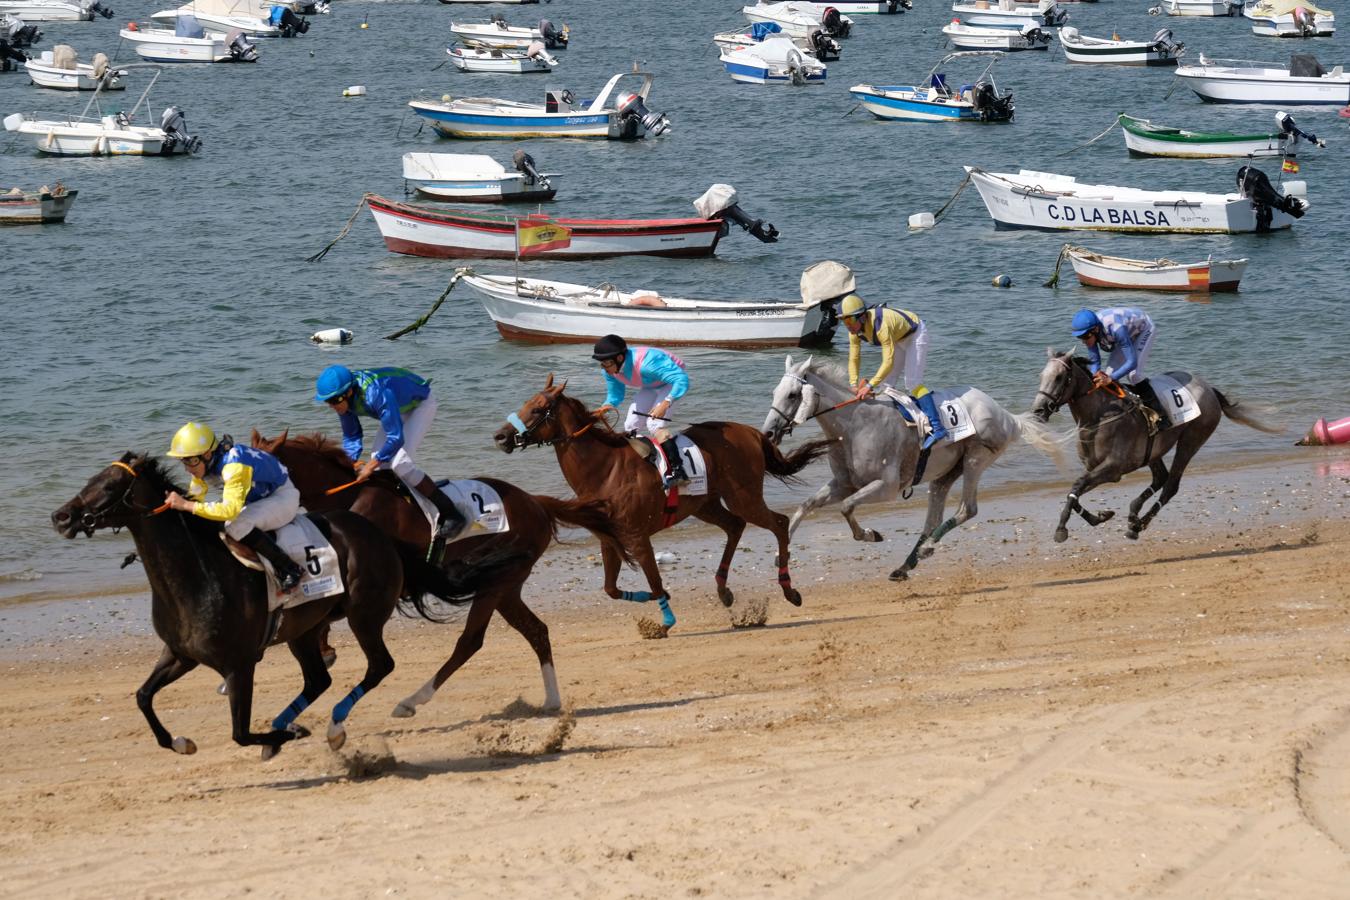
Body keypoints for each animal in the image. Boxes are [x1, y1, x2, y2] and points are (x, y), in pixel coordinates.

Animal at [51, 458, 469, 761]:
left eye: (108, 486)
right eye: (91, 478)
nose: (61, 516)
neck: (197, 576)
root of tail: (381, 535)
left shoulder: (239, 665)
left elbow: (239, 733)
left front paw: (285, 734)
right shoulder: (180, 654)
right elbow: (142, 697)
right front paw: (182, 742)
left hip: (363, 616)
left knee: (379, 666)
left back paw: (332, 727)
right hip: (305, 630)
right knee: (318, 679)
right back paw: (287, 726)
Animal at [252, 429, 626, 717]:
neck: (351, 499)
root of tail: (536, 502)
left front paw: (325, 649)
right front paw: (323, 648)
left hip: (495, 582)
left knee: (470, 641)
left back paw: (410, 701)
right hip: (506, 585)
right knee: (536, 631)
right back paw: (551, 699)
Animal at [496, 377, 831, 631]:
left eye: (537, 408)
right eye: (525, 404)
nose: (500, 436)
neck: (605, 469)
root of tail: (751, 432)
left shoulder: (637, 536)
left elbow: (654, 580)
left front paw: (664, 622)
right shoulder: (609, 537)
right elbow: (611, 589)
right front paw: (651, 600)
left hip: (743, 496)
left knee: (779, 523)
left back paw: (789, 589)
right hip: (705, 504)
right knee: (735, 526)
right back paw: (723, 589)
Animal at [766, 356, 1047, 580]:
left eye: (792, 394)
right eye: (774, 392)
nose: (768, 432)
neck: (854, 426)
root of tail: (1006, 416)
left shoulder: (886, 487)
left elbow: (846, 507)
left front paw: (870, 534)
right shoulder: (845, 484)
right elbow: (807, 505)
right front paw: (782, 555)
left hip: (975, 460)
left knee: (967, 509)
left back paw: (925, 549)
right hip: (945, 475)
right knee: (933, 519)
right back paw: (906, 565)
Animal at [1031, 348, 1274, 542]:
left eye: (1060, 377)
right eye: (1041, 376)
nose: (1039, 410)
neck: (1099, 416)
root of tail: (1209, 389)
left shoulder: (1113, 469)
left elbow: (1077, 486)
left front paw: (1061, 529)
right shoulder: (1094, 467)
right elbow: (1075, 491)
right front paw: (1101, 516)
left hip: (1191, 440)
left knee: (1170, 485)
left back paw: (1137, 525)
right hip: (1154, 451)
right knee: (1160, 478)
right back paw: (1134, 514)